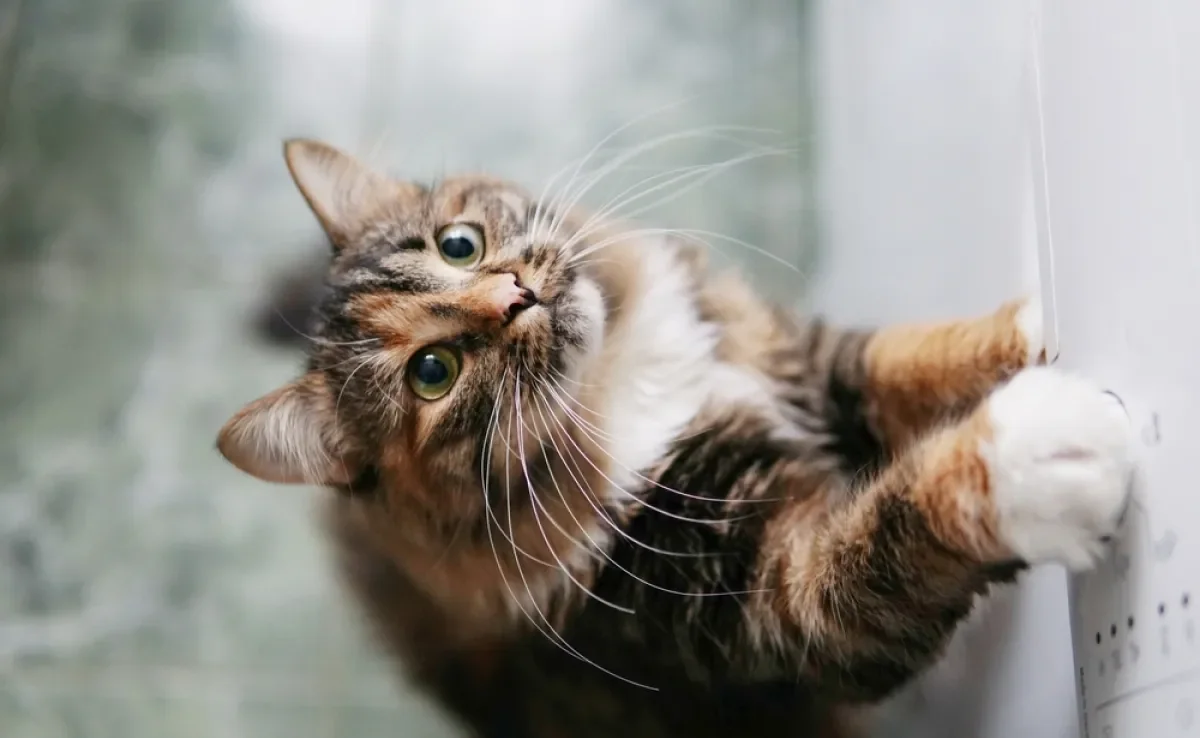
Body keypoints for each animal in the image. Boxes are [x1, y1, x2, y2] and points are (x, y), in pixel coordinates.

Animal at [216, 139, 1132, 738]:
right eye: (432, 373)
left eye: (459, 245)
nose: (515, 296)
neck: (621, 381)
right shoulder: (770, 595)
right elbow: (895, 521)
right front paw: (1041, 452)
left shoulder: (810, 364)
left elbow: (919, 356)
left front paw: (1038, 325)